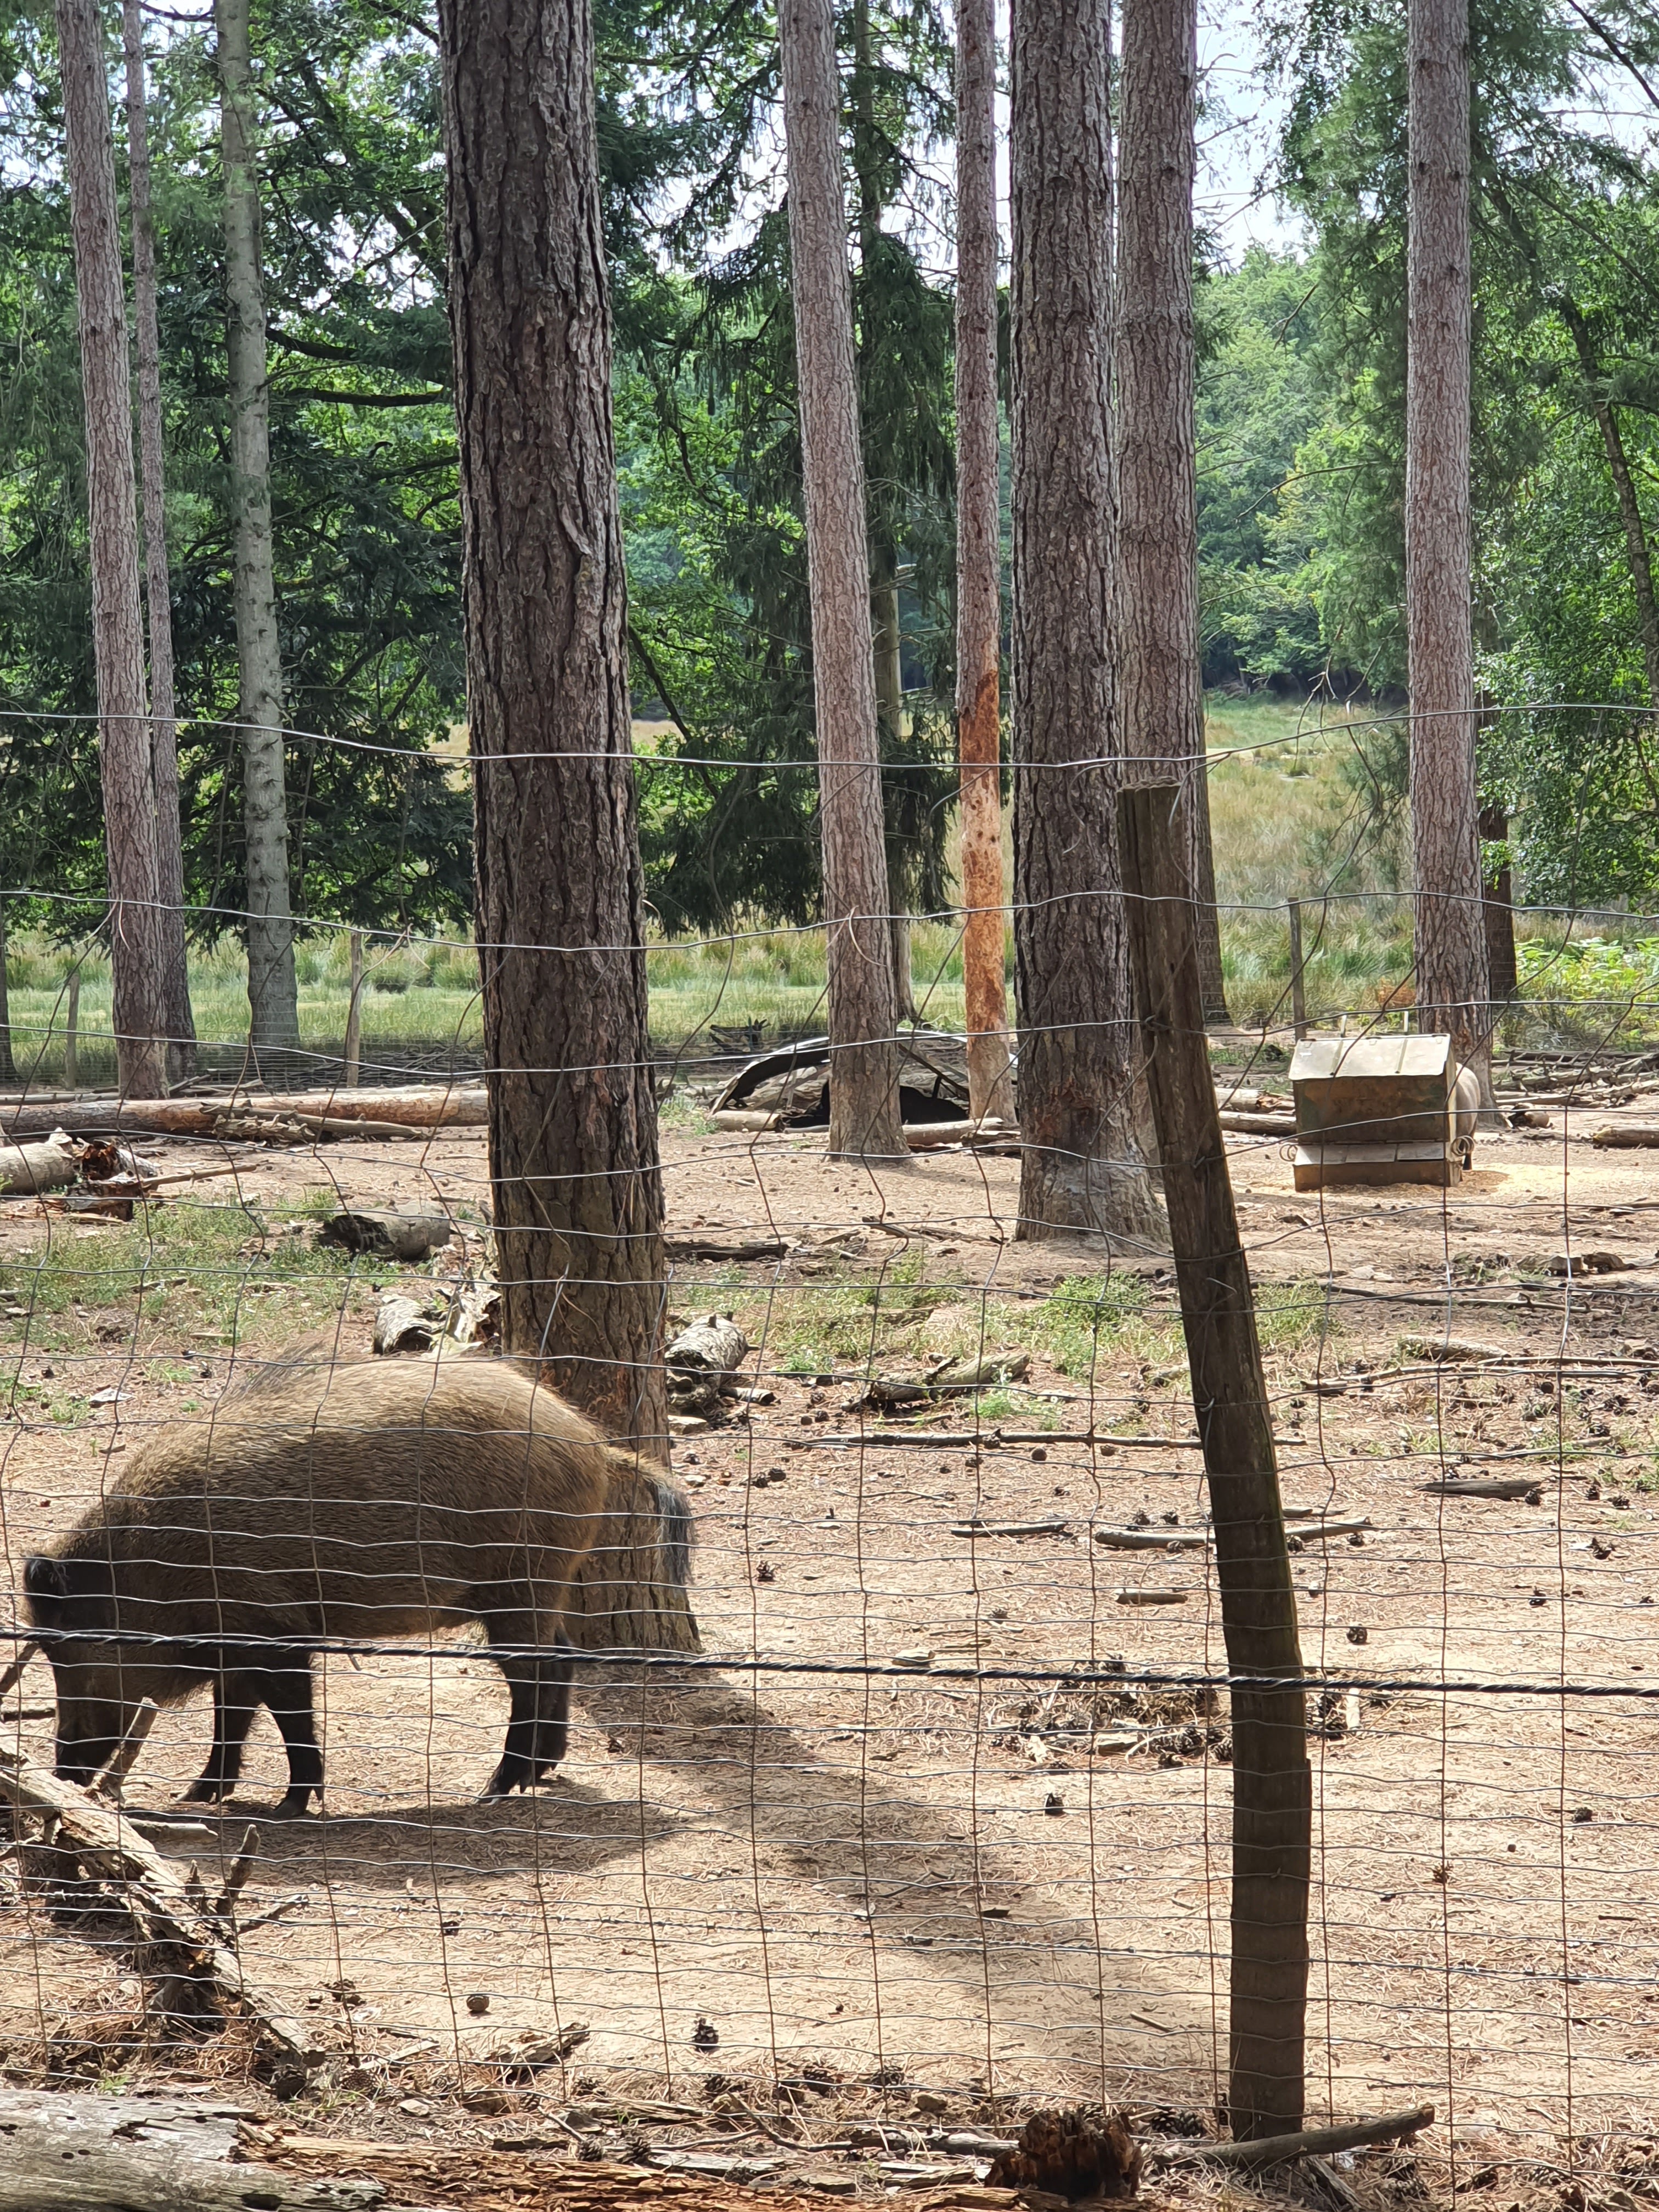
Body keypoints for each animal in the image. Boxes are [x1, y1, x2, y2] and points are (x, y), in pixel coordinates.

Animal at [21, 1355, 615, 1814]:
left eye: (65, 1650)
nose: (63, 1771)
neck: (153, 1566)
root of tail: (590, 1443)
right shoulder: (237, 1642)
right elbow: (231, 1716)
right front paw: (197, 1795)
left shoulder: (274, 1633)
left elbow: (290, 1718)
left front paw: (289, 1806)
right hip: (540, 1587)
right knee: (562, 1656)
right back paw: (539, 1773)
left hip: (522, 1583)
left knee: (533, 1675)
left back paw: (494, 1790)